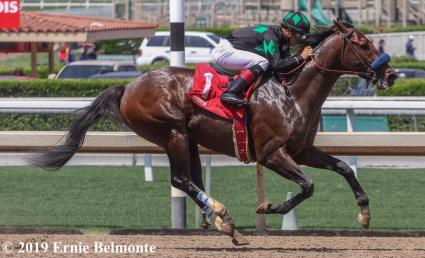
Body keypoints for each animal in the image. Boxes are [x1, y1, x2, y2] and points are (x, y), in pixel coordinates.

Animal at [31, 21, 396, 245]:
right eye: (363, 44)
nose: (391, 74)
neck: (292, 93)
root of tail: (129, 86)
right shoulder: (271, 154)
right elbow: (308, 186)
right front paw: (268, 207)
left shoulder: (302, 150)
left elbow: (344, 167)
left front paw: (364, 213)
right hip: (173, 133)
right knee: (181, 180)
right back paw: (222, 215)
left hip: (187, 139)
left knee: (190, 180)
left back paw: (224, 223)